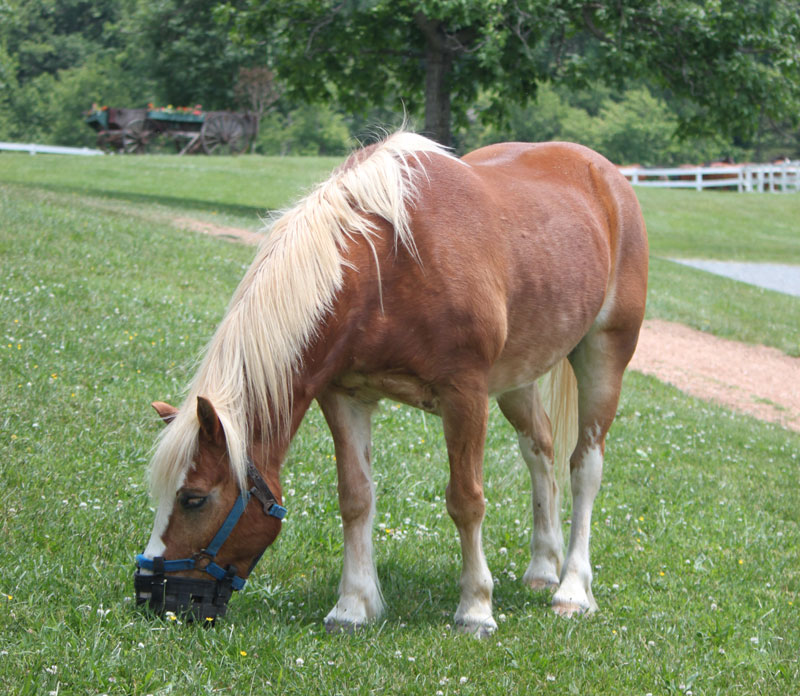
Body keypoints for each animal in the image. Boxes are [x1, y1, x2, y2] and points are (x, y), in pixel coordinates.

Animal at [134, 128, 648, 632]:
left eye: (194, 499)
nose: (151, 595)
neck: (390, 262)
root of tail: (606, 176)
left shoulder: (465, 395)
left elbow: (466, 500)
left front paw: (476, 608)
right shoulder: (344, 395)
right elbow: (355, 498)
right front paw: (353, 607)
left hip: (603, 357)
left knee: (584, 469)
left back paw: (572, 590)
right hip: (518, 376)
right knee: (539, 450)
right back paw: (543, 567)